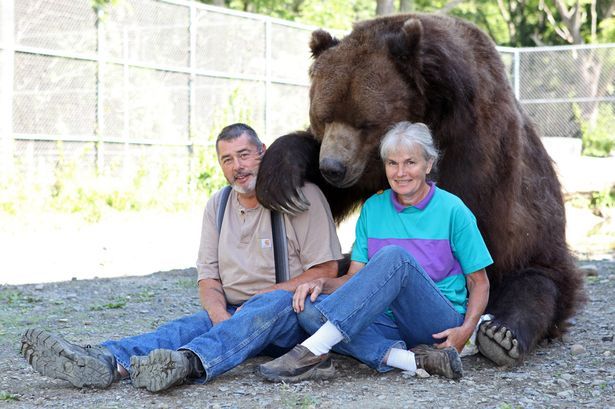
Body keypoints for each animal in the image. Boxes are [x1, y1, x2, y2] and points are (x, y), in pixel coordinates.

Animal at [255, 12, 588, 364]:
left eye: (365, 122)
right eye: (323, 115)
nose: (333, 167)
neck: (432, 110)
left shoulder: (476, 147)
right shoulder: (364, 170)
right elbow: (327, 192)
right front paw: (281, 177)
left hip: (537, 242)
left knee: (537, 284)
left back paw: (502, 334)